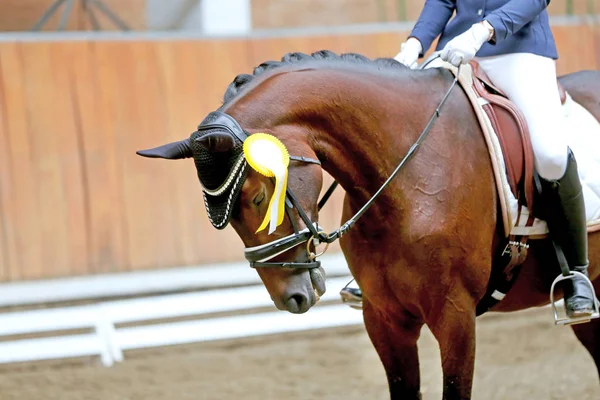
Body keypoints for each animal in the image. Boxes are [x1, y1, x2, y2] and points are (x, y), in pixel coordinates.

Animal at [136, 50, 600, 400]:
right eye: (225, 218)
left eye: (257, 197)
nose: (292, 298)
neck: (408, 172)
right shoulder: (383, 317)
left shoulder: (456, 317)